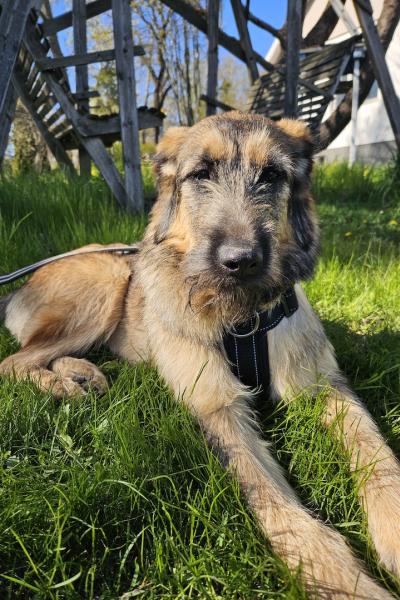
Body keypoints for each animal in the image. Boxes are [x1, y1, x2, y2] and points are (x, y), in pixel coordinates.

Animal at [0, 112, 399, 599]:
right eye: (200, 174)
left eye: (272, 175)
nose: (239, 261)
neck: (242, 316)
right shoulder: (216, 406)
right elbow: (270, 498)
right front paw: (341, 579)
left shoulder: (327, 386)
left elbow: (376, 450)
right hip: (107, 279)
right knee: (15, 361)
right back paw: (60, 384)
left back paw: (82, 374)